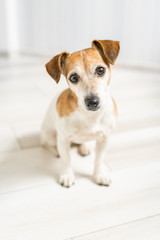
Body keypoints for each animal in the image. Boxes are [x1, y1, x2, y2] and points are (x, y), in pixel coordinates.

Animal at [41, 39, 120, 188]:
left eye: (100, 70)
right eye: (73, 77)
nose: (92, 102)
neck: (90, 116)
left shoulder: (104, 139)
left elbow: (99, 159)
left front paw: (99, 175)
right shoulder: (64, 139)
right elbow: (66, 160)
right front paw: (67, 175)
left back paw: (84, 147)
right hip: (49, 135)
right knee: (49, 144)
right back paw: (55, 150)